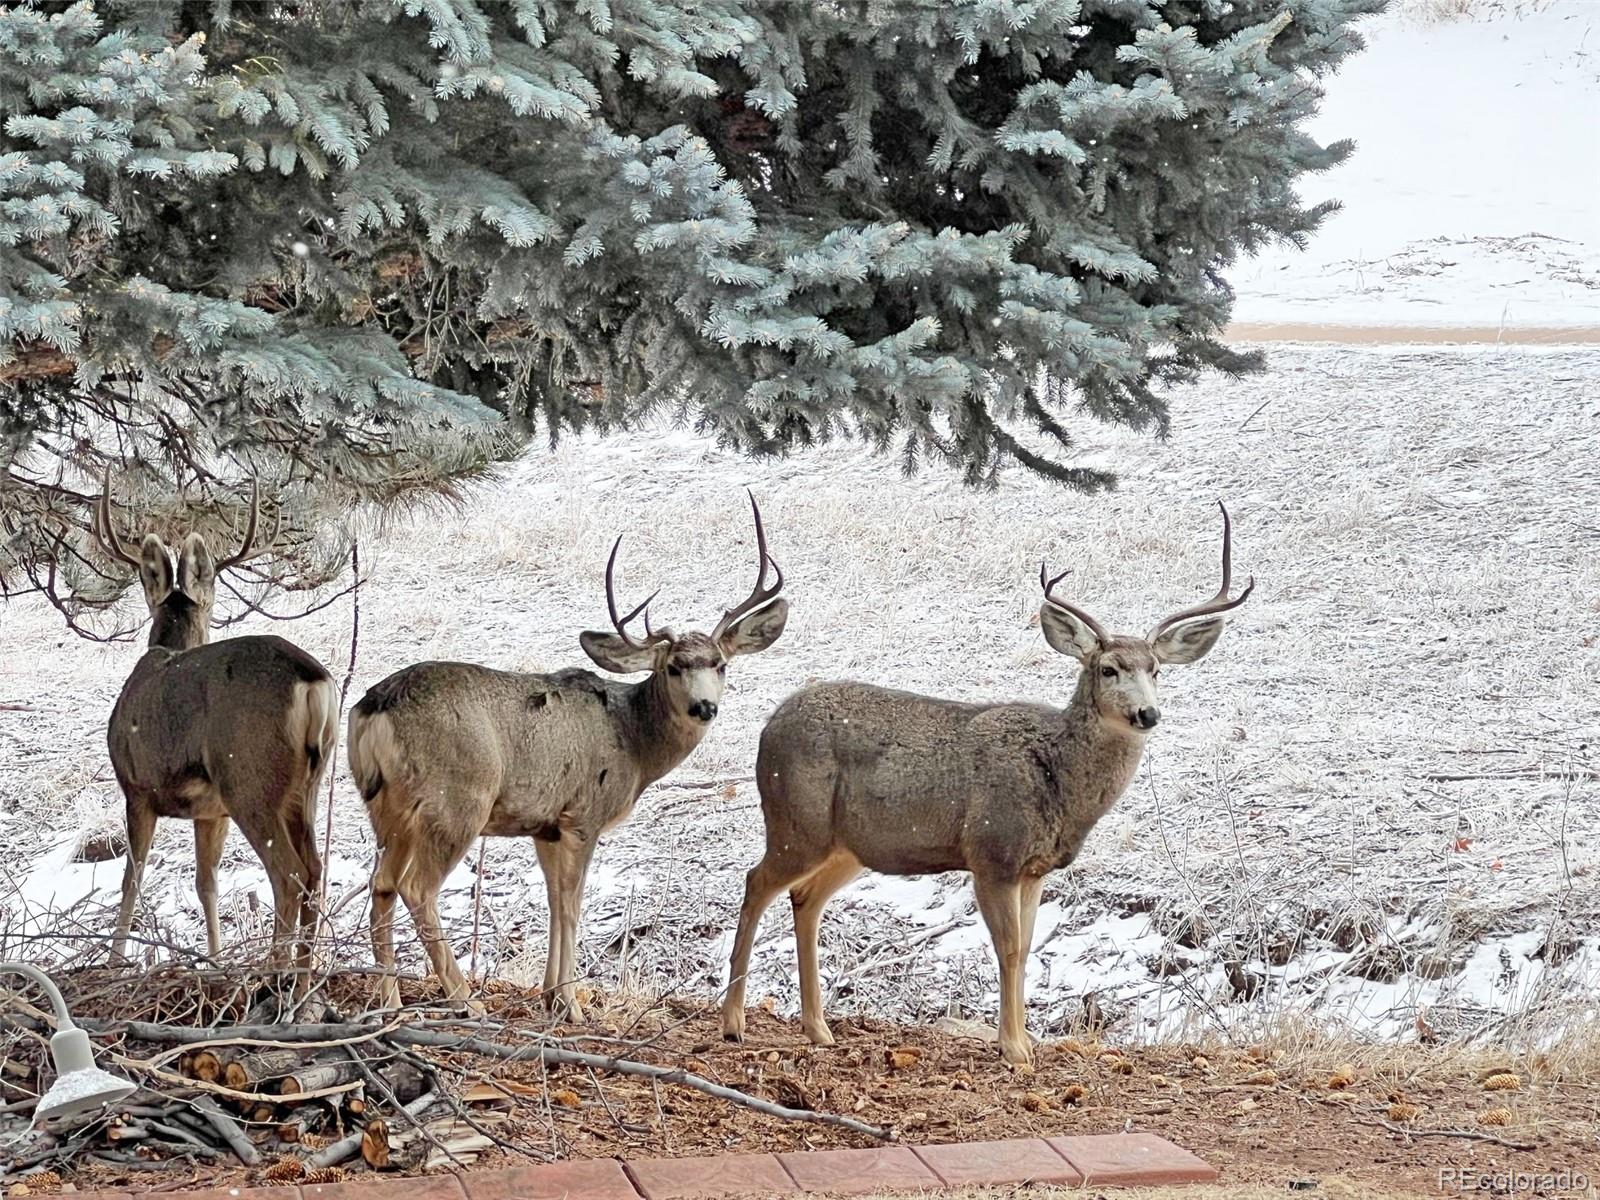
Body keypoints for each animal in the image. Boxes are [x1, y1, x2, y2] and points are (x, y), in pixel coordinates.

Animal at [95, 473, 339, 979]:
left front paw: (114, 962)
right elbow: (205, 882)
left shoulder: (137, 787)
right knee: (314, 871)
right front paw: (215, 959)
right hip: (305, 785)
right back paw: (304, 972)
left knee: (289, 875)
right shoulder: (211, 812)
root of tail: (313, 682)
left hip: (249, 777)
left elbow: (132, 878)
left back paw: (276, 971)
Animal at [356, 496, 793, 1017]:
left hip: (385, 806)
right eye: (672, 667)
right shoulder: (584, 813)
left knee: (380, 885)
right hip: (457, 799)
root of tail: (375, 706)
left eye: (720, 664)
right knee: (416, 887)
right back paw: (465, 1000)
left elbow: (553, 899)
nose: (704, 706)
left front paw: (550, 994)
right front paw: (570, 1001)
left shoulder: (545, 824)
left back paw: (388, 1000)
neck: (633, 739)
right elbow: (572, 902)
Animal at [720, 502, 1254, 1068]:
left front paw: (1024, 1040)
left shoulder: (1035, 868)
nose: (1147, 713)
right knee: (756, 883)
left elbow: (1029, 947)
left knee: (804, 897)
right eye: (1108, 669)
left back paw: (819, 1028)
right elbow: (1010, 948)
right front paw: (1013, 1047)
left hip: (850, 846)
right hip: (795, 820)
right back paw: (733, 1022)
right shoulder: (992, 852)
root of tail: (768, 728)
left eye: (1156, 670)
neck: (1057, 775)